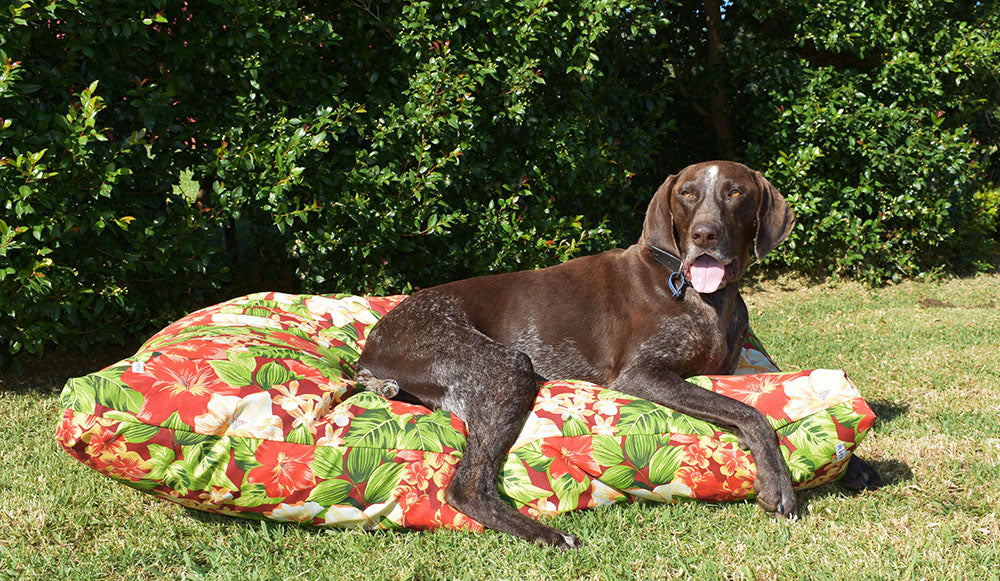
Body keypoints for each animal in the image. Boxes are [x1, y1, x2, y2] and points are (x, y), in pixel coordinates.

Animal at [356, 161, 880, 548]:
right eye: (687, 194)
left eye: (735, 193)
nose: (705, 235)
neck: (700, 294)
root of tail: (374, 343)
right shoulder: (642, 375)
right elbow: (750, 413)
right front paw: (779, 486)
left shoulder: (724, 369)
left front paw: (855, 463)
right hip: (505, 368)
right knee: (467, 487)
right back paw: (547, 534)